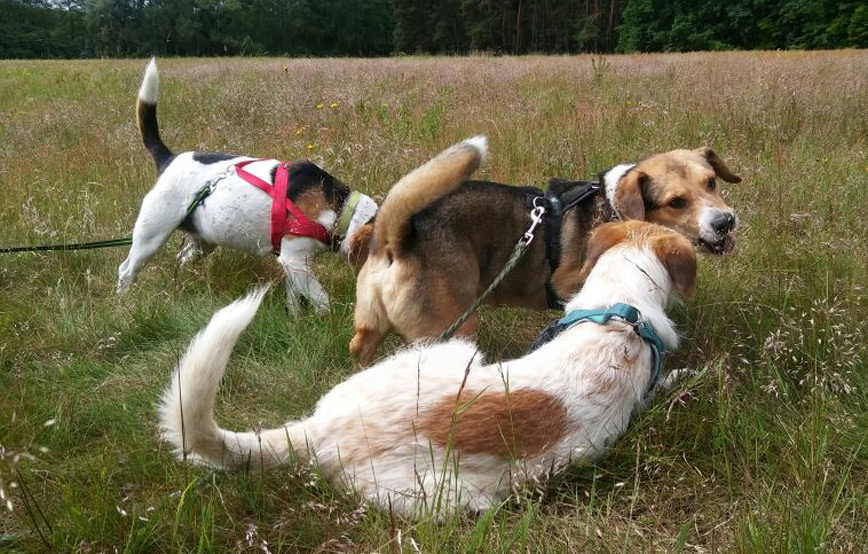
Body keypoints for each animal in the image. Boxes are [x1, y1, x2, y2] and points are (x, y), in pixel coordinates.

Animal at [116, 61, 376, 312]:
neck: (341, 208)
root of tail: (168, 158)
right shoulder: (294, 257)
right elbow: (321, 299)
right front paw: (327, 317)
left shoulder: (294, 262)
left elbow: (295, 298)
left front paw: (296, 318)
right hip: (151, 234)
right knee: (126, 269)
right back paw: (123, 303)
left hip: (202, 243)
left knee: (180, 258)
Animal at [348, 136, 740, 364]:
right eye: (676, 202)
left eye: (711, 182)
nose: (726, 222)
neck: (615, 206)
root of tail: (397, 236)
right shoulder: (572, 285)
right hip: (452, 327)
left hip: (372, 324)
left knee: (359, 348)